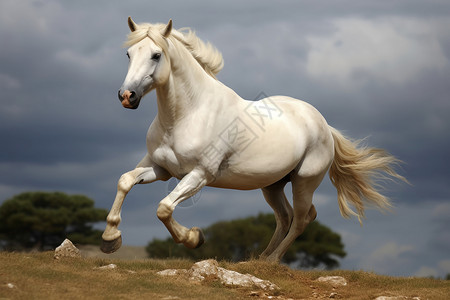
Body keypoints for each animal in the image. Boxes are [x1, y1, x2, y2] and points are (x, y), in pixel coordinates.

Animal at [102, 18, 408, 262]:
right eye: (129, 53)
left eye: (156, 55)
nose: (126, 96)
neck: (186, 115)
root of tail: (323, 124)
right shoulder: (160, 168)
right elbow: (125, 181)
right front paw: (110, 239)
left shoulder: (199, 174)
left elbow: (164, 208)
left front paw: (194, 238)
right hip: (273, 185)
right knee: (284, 218)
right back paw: (257, 259)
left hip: (304, 182)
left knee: (302, 218)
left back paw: (271, 261)